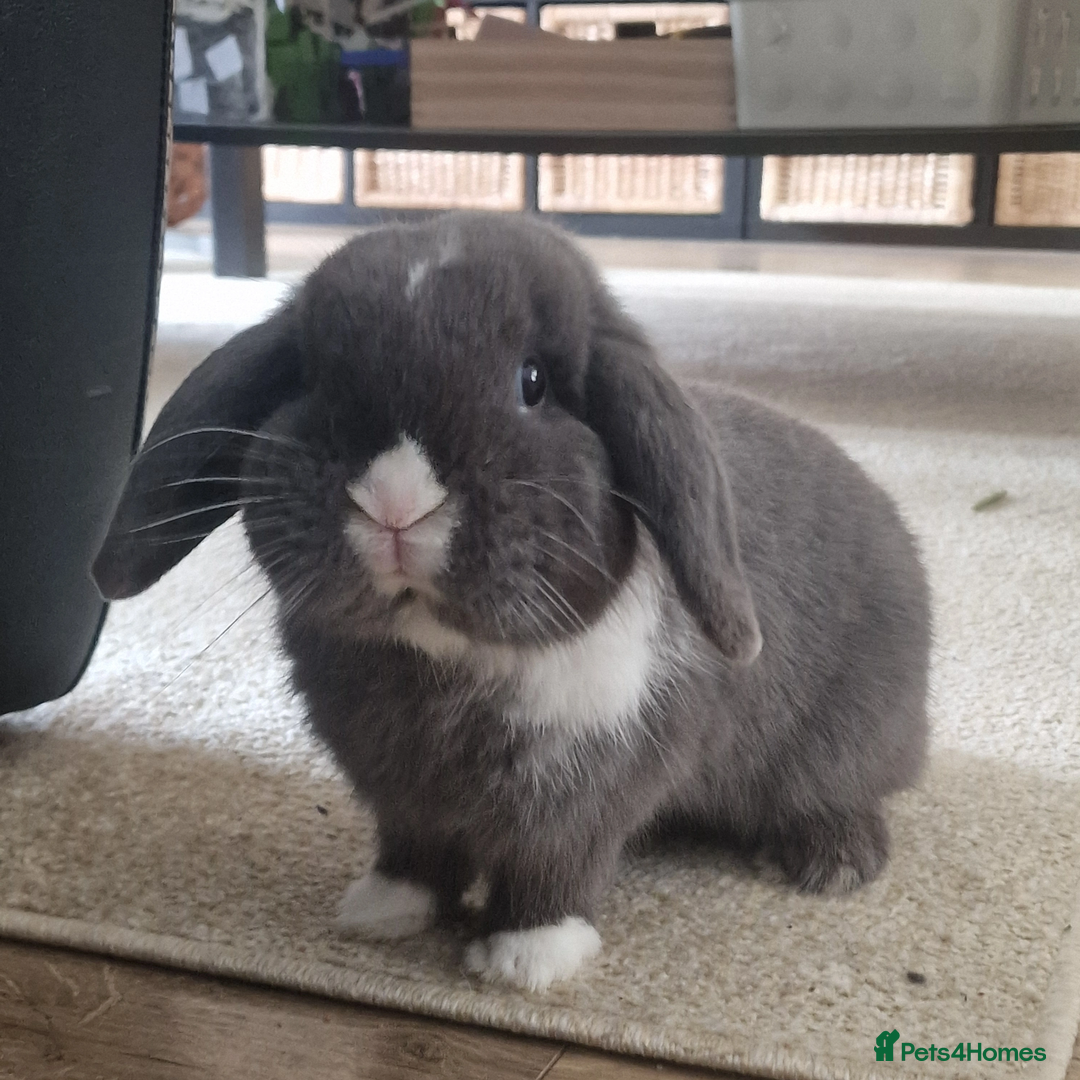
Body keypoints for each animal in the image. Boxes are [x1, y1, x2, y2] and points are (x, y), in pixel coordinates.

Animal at [93, 211, 931, 992]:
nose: (395, 503)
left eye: (533, 382)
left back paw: (831, 861)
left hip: (843, 744)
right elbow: (414, 851)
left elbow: (553, 869)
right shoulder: (401, 798)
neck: (444, 662)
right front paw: (381, 911)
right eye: (311, 377)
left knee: (848, 792)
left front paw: (526, 960)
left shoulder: (581, 795)